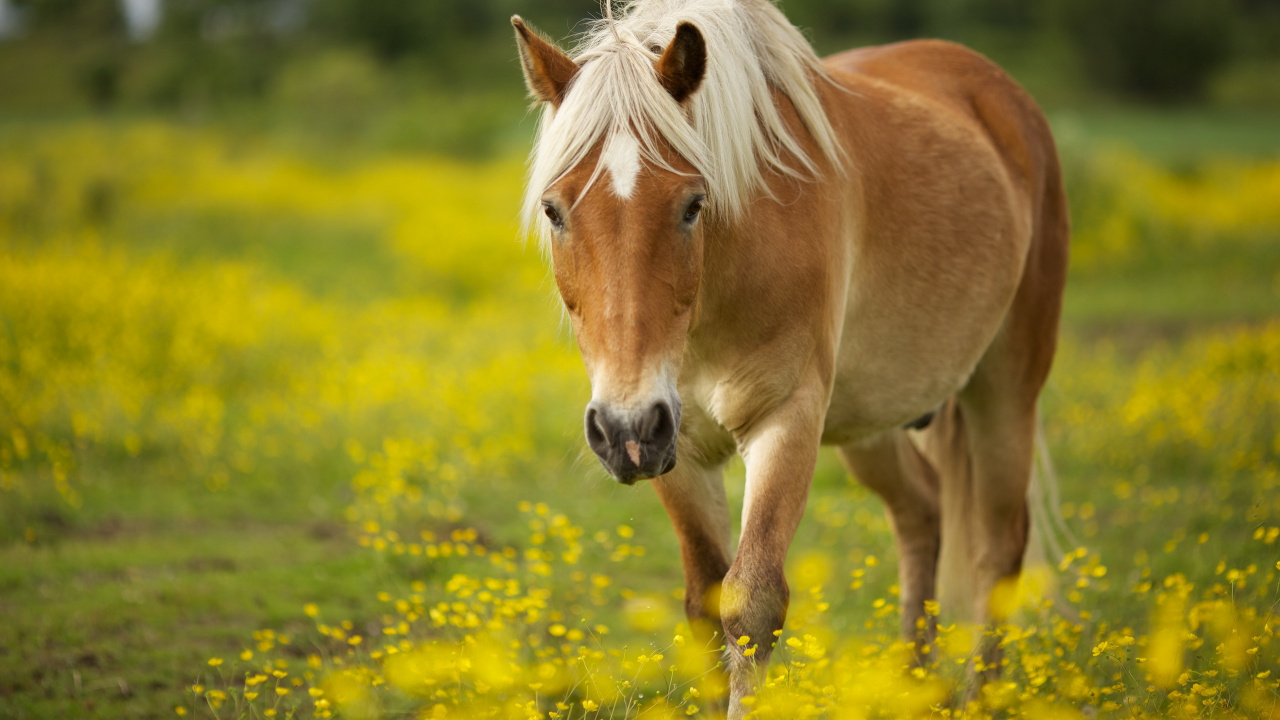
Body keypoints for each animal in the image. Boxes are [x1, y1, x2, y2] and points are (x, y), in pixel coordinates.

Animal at [513, 0, 1068, 715]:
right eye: (554, 210)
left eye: (692, 205)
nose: (624, 428)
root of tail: (1003, 95)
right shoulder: (678, 447)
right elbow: (704, 603)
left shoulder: (786, 419)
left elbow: (751, 603)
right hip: (872, 418)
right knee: (922, 511)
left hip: (1005, 389)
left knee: (998, 550)